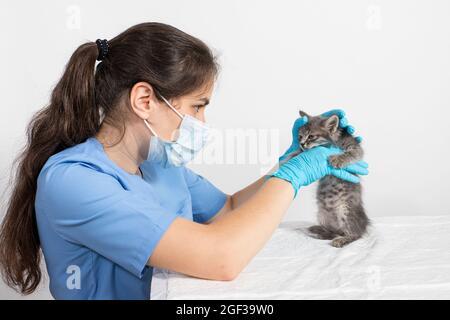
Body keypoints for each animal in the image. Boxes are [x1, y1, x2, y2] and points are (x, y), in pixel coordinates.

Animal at [284, 110, 370, 248]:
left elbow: (352, 153)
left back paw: (342, 239)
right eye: (299, 137)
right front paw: (291, 158)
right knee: (334, 231)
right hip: (322, 214)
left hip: (345, 210)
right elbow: (300, 153)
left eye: (311, 136)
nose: (302, 144)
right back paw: (319, 230)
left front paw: (338, 159)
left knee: (355, 234)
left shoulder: (355, 147)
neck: (332, 142)